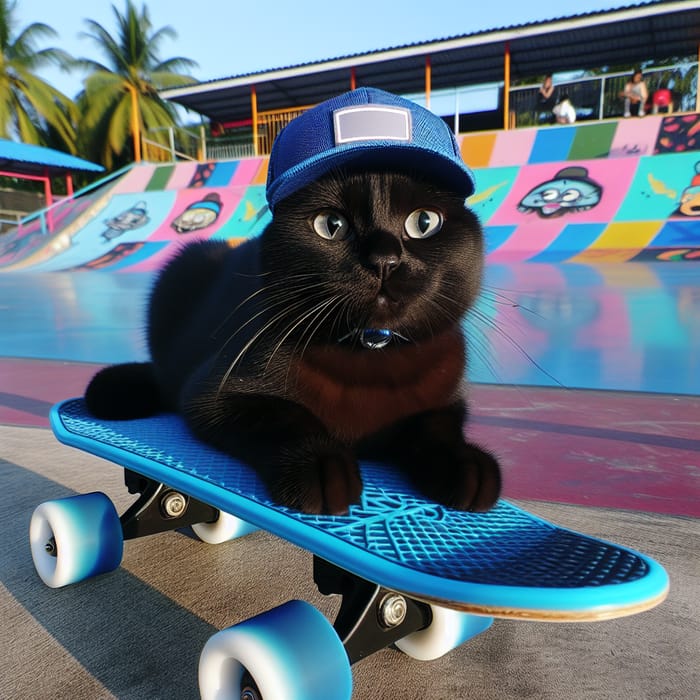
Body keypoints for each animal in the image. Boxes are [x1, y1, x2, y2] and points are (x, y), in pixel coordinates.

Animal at [87, 87, 500, 516]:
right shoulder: (213, 394)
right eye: (331, 225)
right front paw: (320, 467)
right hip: (185, 264)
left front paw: (466, 465)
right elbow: (285, 417)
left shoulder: (444, 397)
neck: (371, 358)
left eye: (424, 222)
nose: (384, 259)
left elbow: (436, 427)